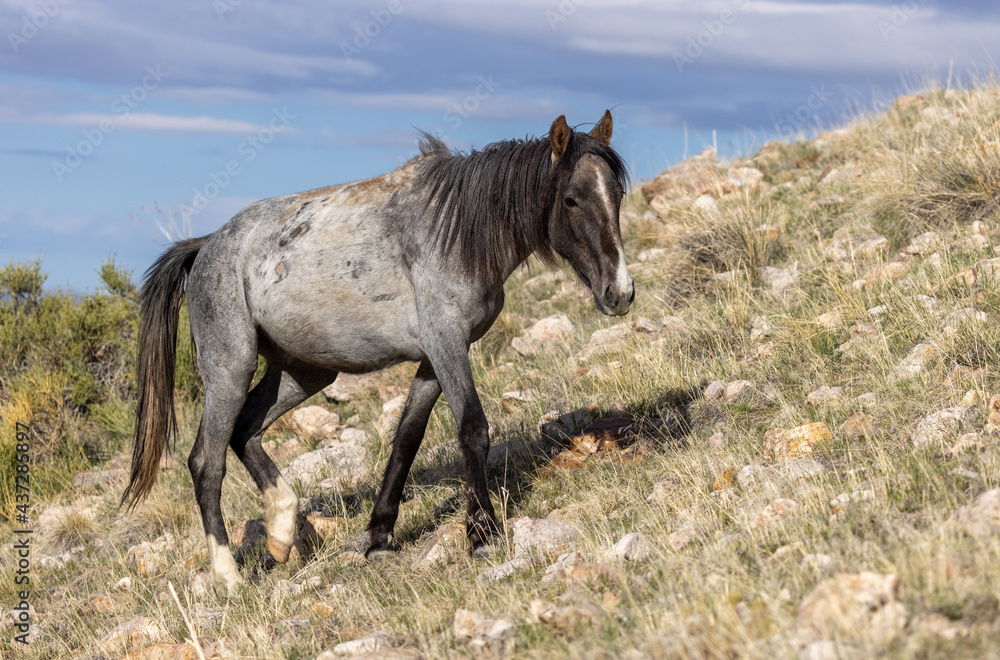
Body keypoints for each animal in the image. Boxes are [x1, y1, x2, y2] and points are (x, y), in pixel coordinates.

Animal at [119, 111, 632, 592]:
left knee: (246, 431)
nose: (620, 293)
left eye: (617, 195)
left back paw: (282, 531)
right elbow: (473, 430)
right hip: (230, 368)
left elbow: (407, 436)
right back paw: (227, 575)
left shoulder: (436, 356)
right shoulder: (447, 345)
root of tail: (206, 246)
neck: (454, 230)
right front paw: (482, 533)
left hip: (304, 373)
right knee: (207, 463)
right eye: (570, 199)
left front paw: (381, 537)